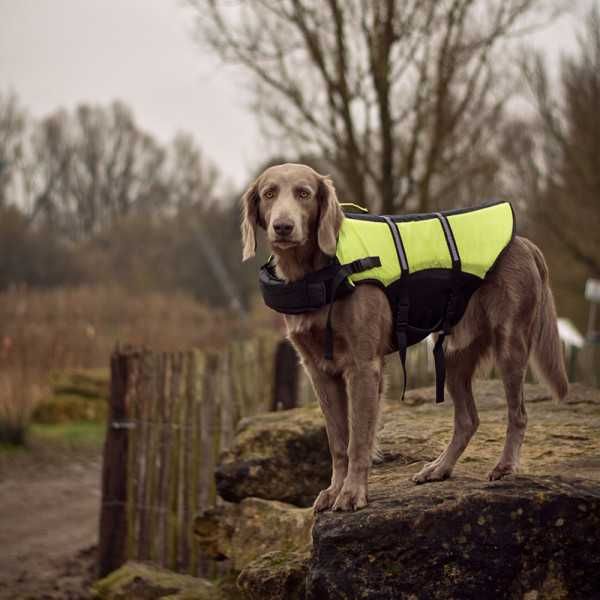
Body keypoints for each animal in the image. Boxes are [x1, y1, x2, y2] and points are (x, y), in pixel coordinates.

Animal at [240, 163, 568, 510]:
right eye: (269, 194)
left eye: (304, 193)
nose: (283, 227)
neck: (318, 273)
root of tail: (524, 243)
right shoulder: (319, 371)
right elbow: (338, 442)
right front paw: (334, 490)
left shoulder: (363, 367)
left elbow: (358, 440)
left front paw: (352, 493)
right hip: (453, 354)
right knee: (468, 420)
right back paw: (439, 468)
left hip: (510, 345)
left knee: (518, 413)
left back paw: (505, 466)